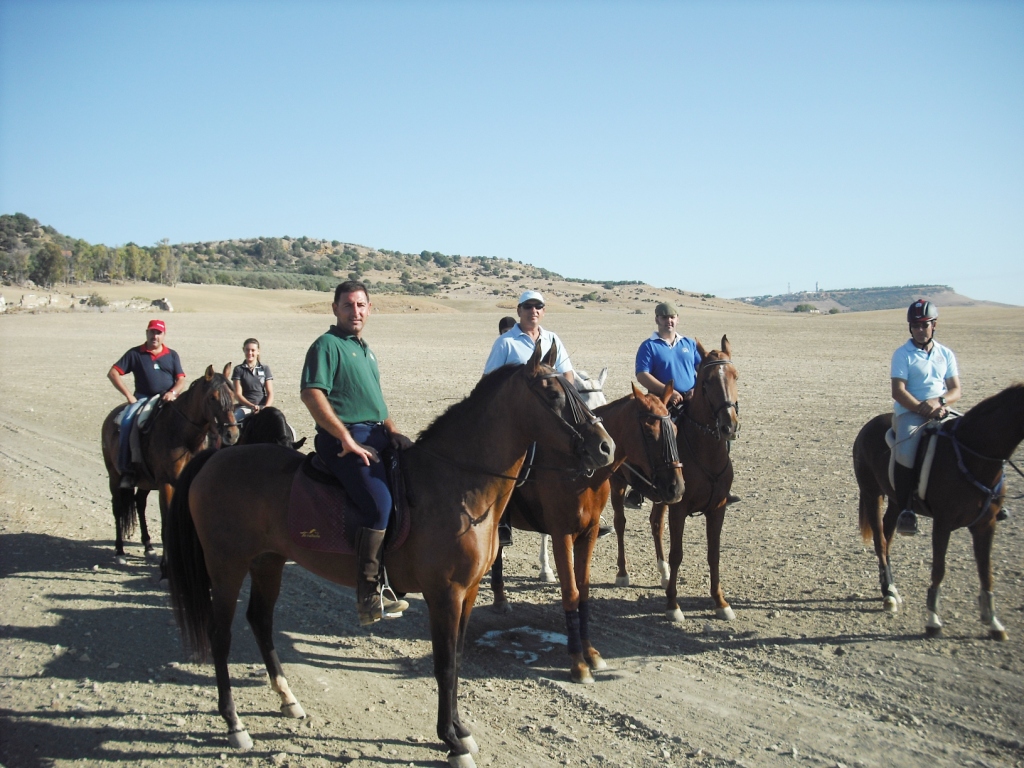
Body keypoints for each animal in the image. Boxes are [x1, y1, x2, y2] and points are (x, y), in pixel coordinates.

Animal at [100, 365, 238, 567]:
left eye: (233, 394)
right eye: (212, 397)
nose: (232, 433)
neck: (184, 437)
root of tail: (111, 417)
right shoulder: (166, 483)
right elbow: (166, 522)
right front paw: (166, 563)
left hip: (146, 481)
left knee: (139, 503)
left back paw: (148, 546)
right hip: (114, 476)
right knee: (118, 509)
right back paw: (120, 551)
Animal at [163, 343, 615, 768]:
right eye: (553, 394)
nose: (606, 447)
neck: (458, 483)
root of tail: (217, 456)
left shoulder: (467, 593)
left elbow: (457, 659)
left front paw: (461, 731)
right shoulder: (444, 595)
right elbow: (444, 665)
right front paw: (451, 742)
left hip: (267, 561)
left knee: (260, 621)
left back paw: (287, 699)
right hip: (226, 566)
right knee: (220, 635)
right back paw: (234, 724)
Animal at [488, 383, 684, 682]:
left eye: (674, 428)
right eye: (650, 432)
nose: (677, 487)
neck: (580, 473)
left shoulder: (588, 533)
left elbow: (584, 590)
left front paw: (590, 653)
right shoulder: (562, 534)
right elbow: (570, 592)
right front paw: (577, 663)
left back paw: (500, 597)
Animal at [612, 335, 741, 622]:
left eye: (735, 375)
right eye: (707, 381)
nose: (729, 425)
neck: (705, 451)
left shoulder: (717, 508)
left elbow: (713, 554)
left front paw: (720, 602)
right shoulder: (679, 508)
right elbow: (677, 554)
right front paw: (673, 604)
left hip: (663, 495)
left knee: (655, 524)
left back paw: (663, 574)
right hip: (618, 484)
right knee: (620, 523)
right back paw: (623, 573)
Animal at [852, 383, 1024, 640]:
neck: (974, 454)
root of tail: (869, 425)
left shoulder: (986, 524)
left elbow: (986, 571)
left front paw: (994, 623)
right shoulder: (943, 522)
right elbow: (939, 569)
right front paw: (933, 621)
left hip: (896, 500)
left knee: (888, 536)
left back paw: (888, 589)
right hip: (873, 494)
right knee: (880, 542)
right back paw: (889, 593)